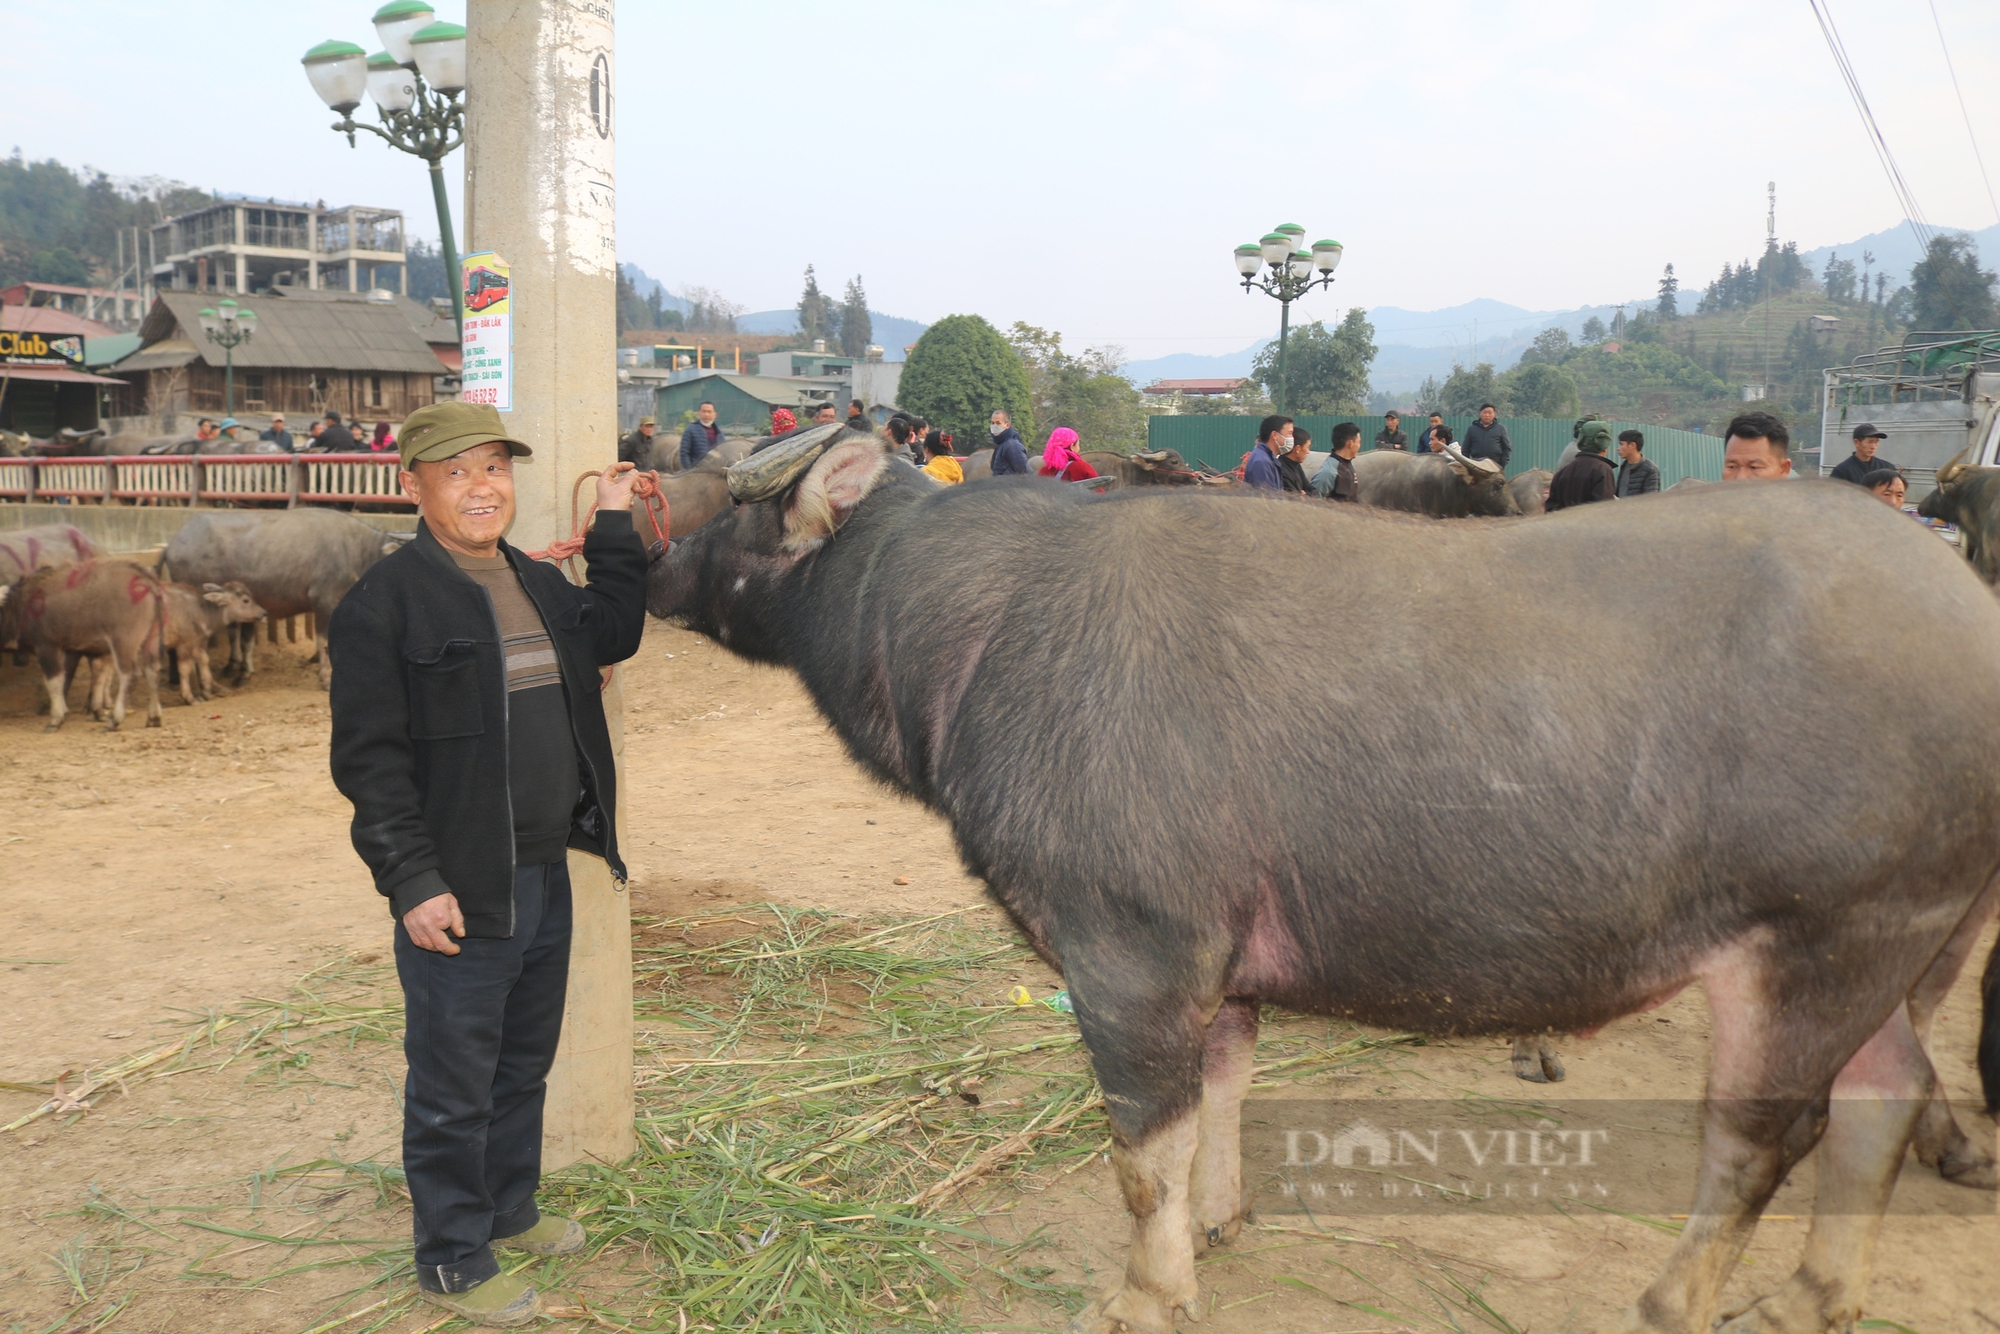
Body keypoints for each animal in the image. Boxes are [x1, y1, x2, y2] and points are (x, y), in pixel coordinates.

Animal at [648, 428, 1992, 1334]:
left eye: (718, 510)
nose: (648, 564)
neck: (981, 633)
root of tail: (1966, 613)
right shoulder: (1219, 969)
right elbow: (1223, 1093)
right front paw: (1219, 1220)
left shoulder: (1126, 957)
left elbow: (1140, 1151)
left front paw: (1145, 1291)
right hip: (1896, 943)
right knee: (1884, 1092)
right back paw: (1811, 1292)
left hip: (1817, 939)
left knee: (1765, 1135)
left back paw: (1674, 1299)